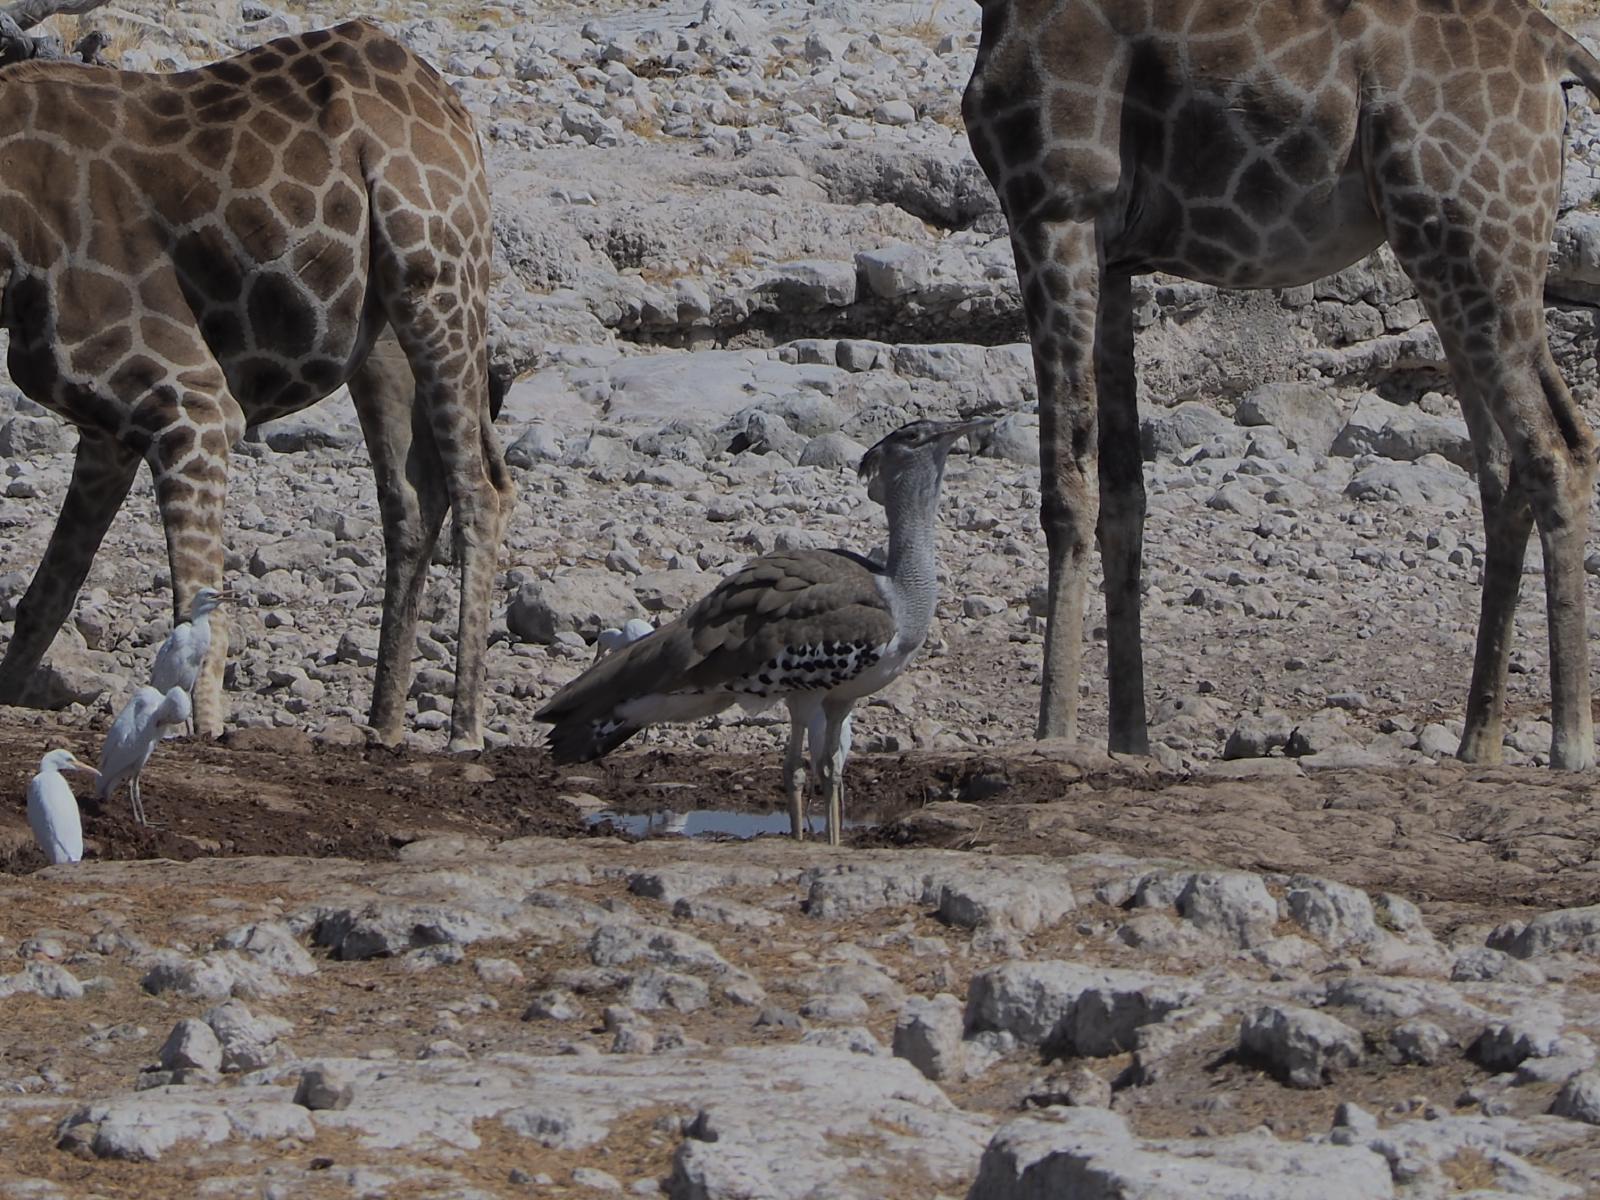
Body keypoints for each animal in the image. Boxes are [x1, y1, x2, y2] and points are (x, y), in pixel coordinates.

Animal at [0, 20, 513, 751]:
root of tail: (447, 102)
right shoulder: (107, 429)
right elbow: (47, 595)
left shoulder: (190, 401)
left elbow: (197, 618)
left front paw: (206, 737)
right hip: (382, 342)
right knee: (414, 497)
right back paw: (382, 727)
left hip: (441, 280)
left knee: (481, 490)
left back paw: (463, 733)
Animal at [964, 0, 1600, 770]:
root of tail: (1557, 51)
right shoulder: (1114, 257)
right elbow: (1124, 495)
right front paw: (1130, 744)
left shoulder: (1057, 208)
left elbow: (1066, 490)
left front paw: (1052, 738)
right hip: (1469, 257)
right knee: (1511, 468)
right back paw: (1477, 744)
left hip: (1473, 241)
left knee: (1553, 452)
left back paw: (1569, 745)